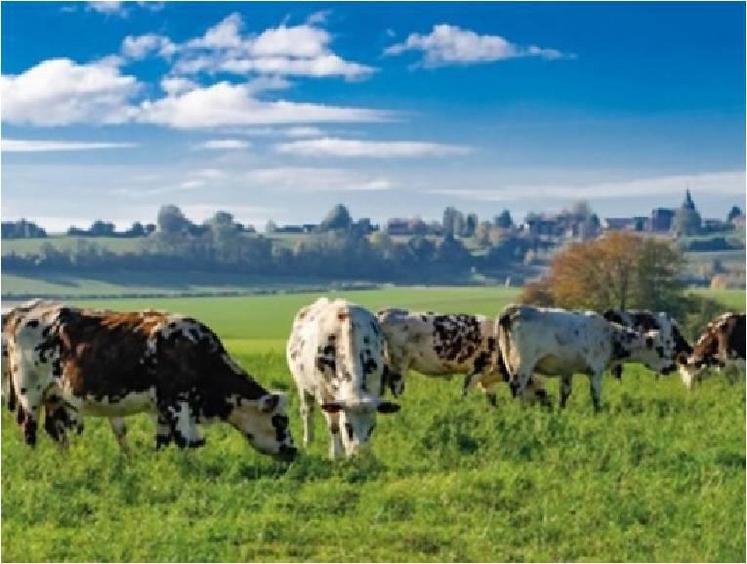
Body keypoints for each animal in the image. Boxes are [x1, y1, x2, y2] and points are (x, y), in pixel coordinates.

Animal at [6, 302, 298, 460]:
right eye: (281, 420)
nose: (294, 451)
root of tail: (21, 315)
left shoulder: (162, 409)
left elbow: (163, 441)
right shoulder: (175, 403)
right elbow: (186, 442)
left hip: (55, 395)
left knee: (54, 429)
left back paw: (65, 460)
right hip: (29, 392)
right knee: (29, 429)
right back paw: (33, 460)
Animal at [288, 298, 404, 460]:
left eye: (372, 427)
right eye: (348, 426)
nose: (360, 455)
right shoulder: (324, 394)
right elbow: (333, 424)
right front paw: (336, 454)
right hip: (302, 386)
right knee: (307, 411)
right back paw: (308, 441)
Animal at [376, 308, 548, 406]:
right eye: (541, 392)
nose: (549, 406)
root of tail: (385, 313)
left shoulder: (488, 381)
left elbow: (492, 401)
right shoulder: (477, 369)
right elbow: (464, 393)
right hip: (398, 364)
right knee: (395, 388)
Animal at [496, 304, 676, 410]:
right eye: (660, 348)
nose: (672, 366)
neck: (610, 336)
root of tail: (513, 309)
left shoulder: (566, 370)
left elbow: (565, 393)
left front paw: (562, 410)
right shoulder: (596, 371)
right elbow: (595, 395)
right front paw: (598, 412)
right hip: (522, 365)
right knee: (516, 387)